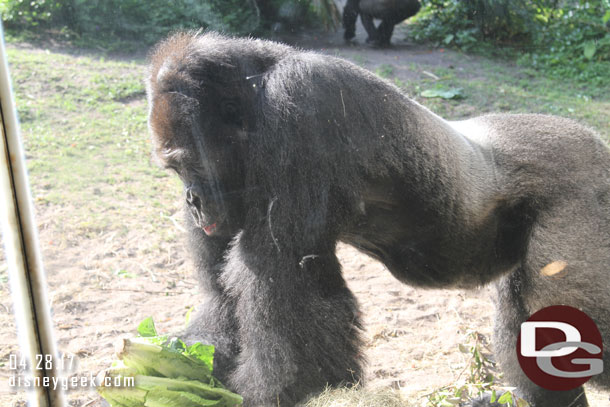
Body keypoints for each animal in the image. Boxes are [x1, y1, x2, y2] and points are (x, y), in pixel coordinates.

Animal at [147, 32, 608, 407]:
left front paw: (277, 392)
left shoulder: (301, 102)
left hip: (584, 191)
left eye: (192, 164)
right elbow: (223, 294)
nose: (192, 202)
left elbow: (286, 280)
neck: (256, 88)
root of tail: (594, 142)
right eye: (174, 170)